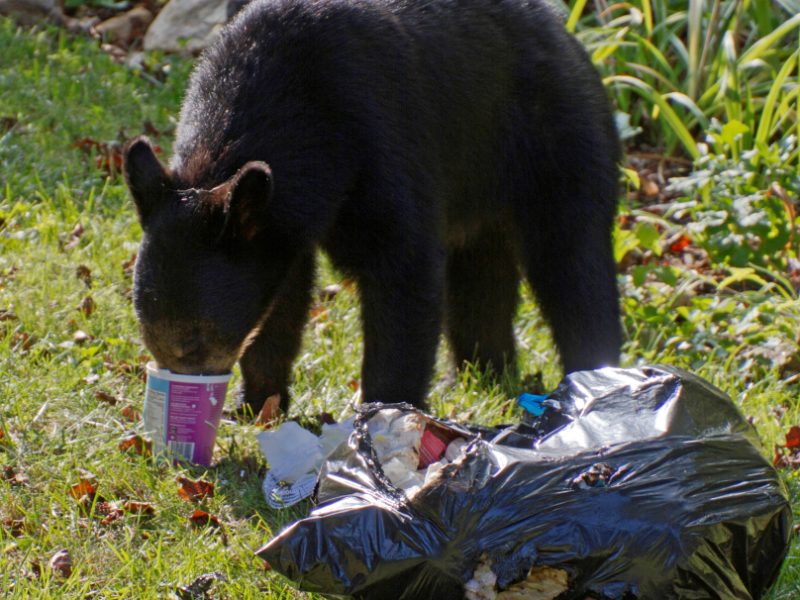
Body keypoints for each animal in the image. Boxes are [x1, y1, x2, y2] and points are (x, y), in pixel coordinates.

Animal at [123, 0, 622, 416]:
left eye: (194, 340)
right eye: (150, 336)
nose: (185, 395)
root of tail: (567, 35)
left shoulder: (379, 140)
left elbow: (404, 273)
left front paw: (384, 414)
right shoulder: (281, 222)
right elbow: (282, 299)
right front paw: (257, 404)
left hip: (556, 141)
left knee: (574, 265)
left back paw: (594, 382)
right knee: (481, 280)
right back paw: (482, 375)